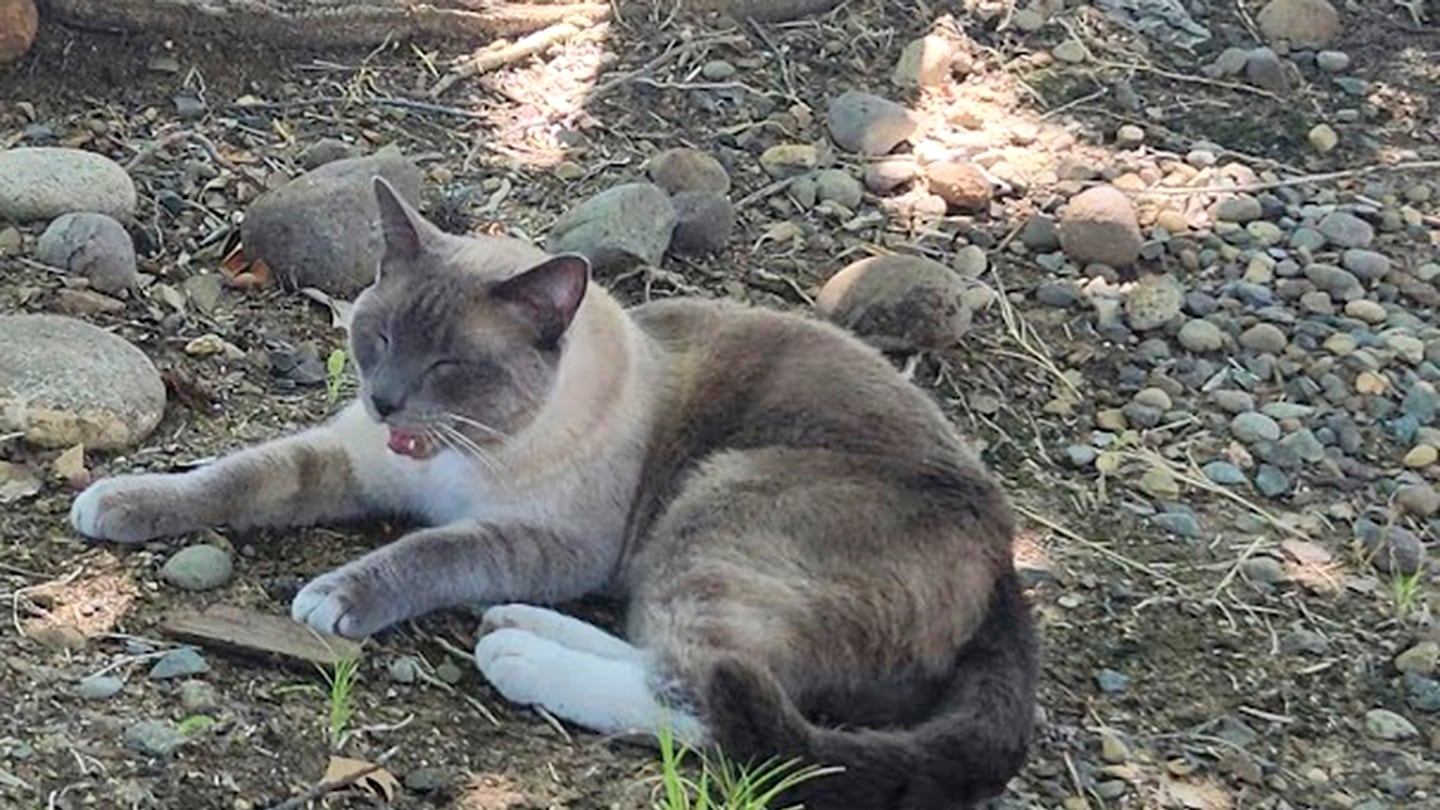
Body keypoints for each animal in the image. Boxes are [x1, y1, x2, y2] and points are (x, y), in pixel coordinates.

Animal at [70, 176, 1036, 807]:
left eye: (449, 366)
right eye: (377, 337)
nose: (385, 400)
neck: (449, 456)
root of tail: (1005, 556)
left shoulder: (543, 543)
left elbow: (428, 550)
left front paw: (334, 597)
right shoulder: (349, 457)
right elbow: (235, 476)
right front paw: (116, 501)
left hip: (716, 508)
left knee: (712, 700)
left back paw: (518, 655)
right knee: (677, 659)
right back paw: (520, 629)